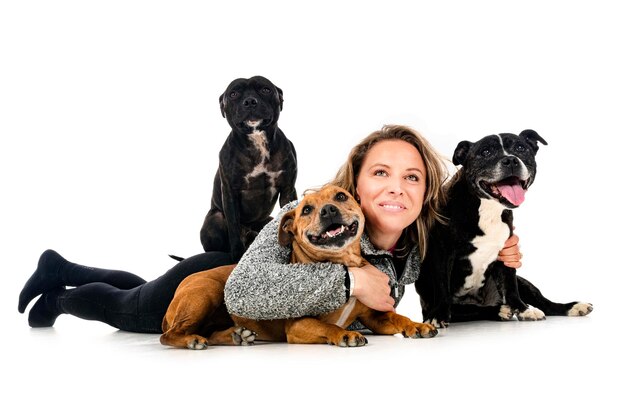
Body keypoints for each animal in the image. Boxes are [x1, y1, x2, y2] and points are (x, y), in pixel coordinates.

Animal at [158, 186, 436, 348]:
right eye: (307, 209)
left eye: (340, 196)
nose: (328, 210)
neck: (343, 263)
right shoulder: (298, 326)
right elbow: (328, 326)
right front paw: (344, 335)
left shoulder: (375, 317)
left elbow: (397, 317)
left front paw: (417, 325)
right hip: (205, 293)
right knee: (168, 336)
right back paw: (193, 339)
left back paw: (236, 335)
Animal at [200, 76, 298, 260]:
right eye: (233, 94)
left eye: (265, 89)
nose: (250, 101)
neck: (257, 141)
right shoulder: (230, 193)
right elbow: (233, 228)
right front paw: (237, 255)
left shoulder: (288, 189)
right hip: (216, 218)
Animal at [414, 130, 588, 326]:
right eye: (486, 152)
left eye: (520, 148)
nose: (510, 160)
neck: (488, 208)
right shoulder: (443, 253)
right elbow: (442, 286)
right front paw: (438, 315)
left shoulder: (507, 253)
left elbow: (511, 285)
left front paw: (523, 309)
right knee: (466, 310)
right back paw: (500, 310)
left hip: (524, 283)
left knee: (545, 303)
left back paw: (571, 307)